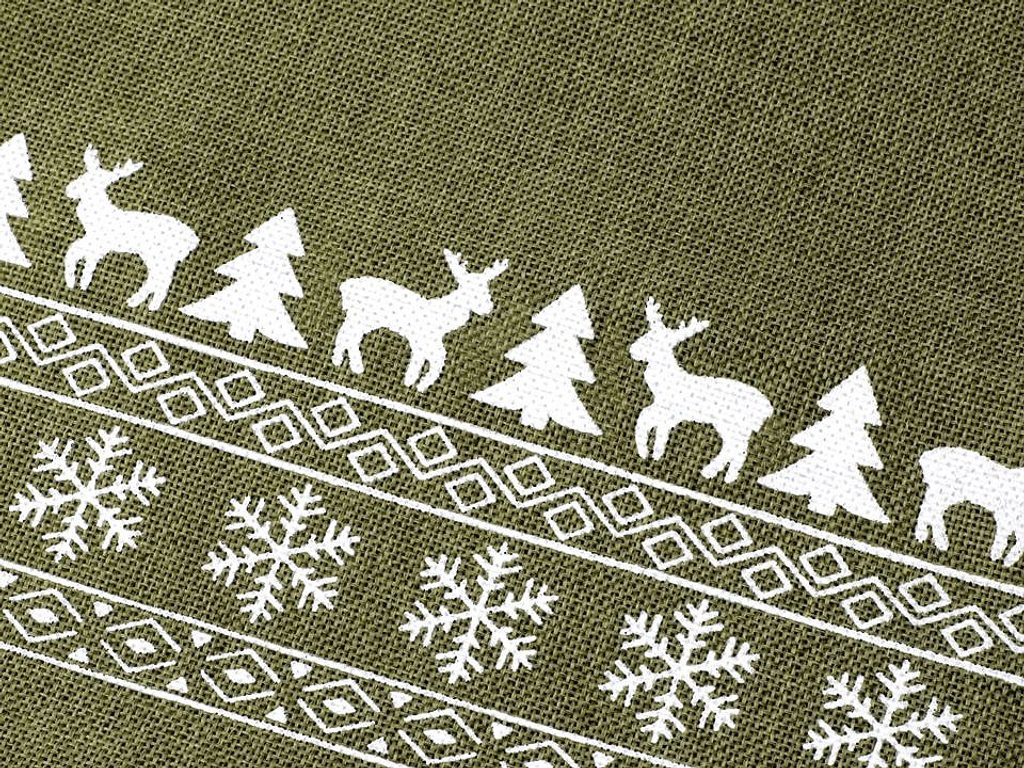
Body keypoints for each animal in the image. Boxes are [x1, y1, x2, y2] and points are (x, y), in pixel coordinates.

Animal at [64, 145, 199, 311]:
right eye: (84, 175)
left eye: (96, 181)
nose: (69, 189)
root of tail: (193, 240)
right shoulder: (94, 243)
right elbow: (78, 254)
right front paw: (80, 282)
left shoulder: (99, 243)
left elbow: (76, 254)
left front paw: (77, 282)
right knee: (156, 278)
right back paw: (138, 301)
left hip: (161, 256)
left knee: (162, 280)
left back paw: (147, 304)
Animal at [331, 248, 509, 392]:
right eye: (469, 290)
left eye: (485, 289)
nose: (488, 307)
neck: (443, 317)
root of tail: (345, 286)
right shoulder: (423, 340)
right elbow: (433, 360)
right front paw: (415, 382)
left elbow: (429, 359)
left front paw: (414, 383)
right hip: (362, 317)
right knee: (346, 335)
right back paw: (346, 363)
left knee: (349, 337)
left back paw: (348, 364)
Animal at [629, 298, 773, 484]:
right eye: (646, 335)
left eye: (656, 342)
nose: (632, 350)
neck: (668, 379)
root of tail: (767, 408)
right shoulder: (669, 414)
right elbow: (657, 427)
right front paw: (655, 453)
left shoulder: (670, 409)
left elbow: (644, 418)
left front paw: (646, 452)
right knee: (732, 447)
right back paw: (715, 473)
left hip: (734, 425)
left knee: (738, 449)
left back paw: (720, 475)